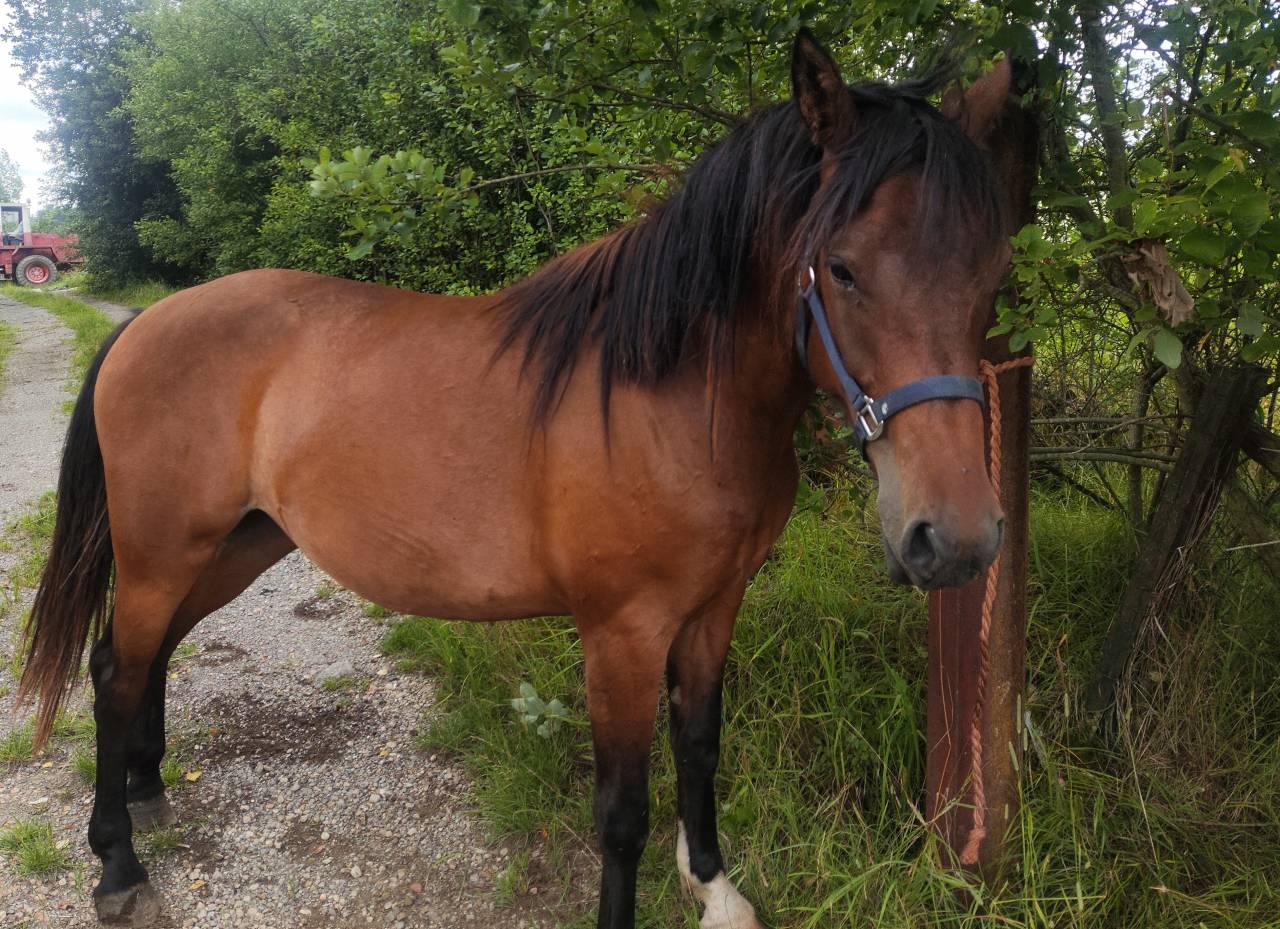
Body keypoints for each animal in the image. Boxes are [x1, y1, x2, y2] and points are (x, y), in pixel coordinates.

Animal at [19, 29, 1014, 929]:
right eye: (841, 269)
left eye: (992, 273)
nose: (956, 537)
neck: (670, 394)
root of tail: (145, 325)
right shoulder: (622, 631)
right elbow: (622, 814)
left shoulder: (714, 608)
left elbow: (700, 747)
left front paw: (715, 888)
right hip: (163, 549)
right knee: (116, 668)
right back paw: (117, 864)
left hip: (236, 543)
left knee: (145, 655)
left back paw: (148, 787)